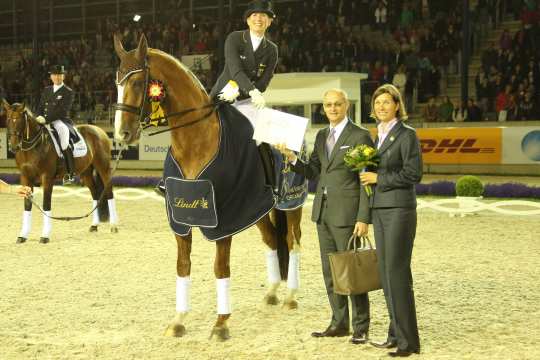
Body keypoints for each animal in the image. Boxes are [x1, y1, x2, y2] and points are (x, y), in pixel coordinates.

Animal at [2, 100, 118, 243]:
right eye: (8, 119)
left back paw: (114, 226)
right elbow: (27, 204)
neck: (34, 147)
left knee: (109, 191)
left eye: (20, 120)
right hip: (86, 172)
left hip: (103, 167)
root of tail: (99, 130)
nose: (14, 147)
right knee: (95, 193)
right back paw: (94, 225)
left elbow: (46, 204)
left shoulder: (47, 177)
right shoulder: (25, 177)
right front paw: (22, 235)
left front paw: (45, 236)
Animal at [113, 34, 304, 340]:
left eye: (138, 82)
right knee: (272, 240)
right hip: (257, 210)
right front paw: (178, 320)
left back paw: (290, 296)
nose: (122, 134)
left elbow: (220, 267)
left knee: (292, 241)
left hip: (291, 203)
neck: (195, 140)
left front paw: (221, 323)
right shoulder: (181, 217)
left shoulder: (223, 218)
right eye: (117, 81)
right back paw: (273, 291)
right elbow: (183, 265)